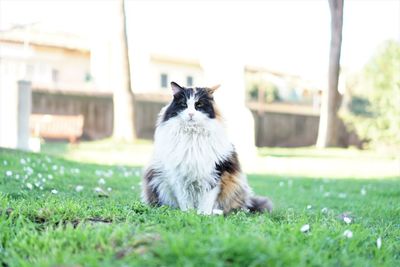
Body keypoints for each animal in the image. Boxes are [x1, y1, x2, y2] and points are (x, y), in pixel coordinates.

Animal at [141, 81, 272, 216]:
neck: (192, 137)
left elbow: (207, 201)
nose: (191, 114)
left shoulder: (215, 174)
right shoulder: (178, 177)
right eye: (184, 105)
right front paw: (188, 214)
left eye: (199, 105)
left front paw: (203, 215)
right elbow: (185, 201)